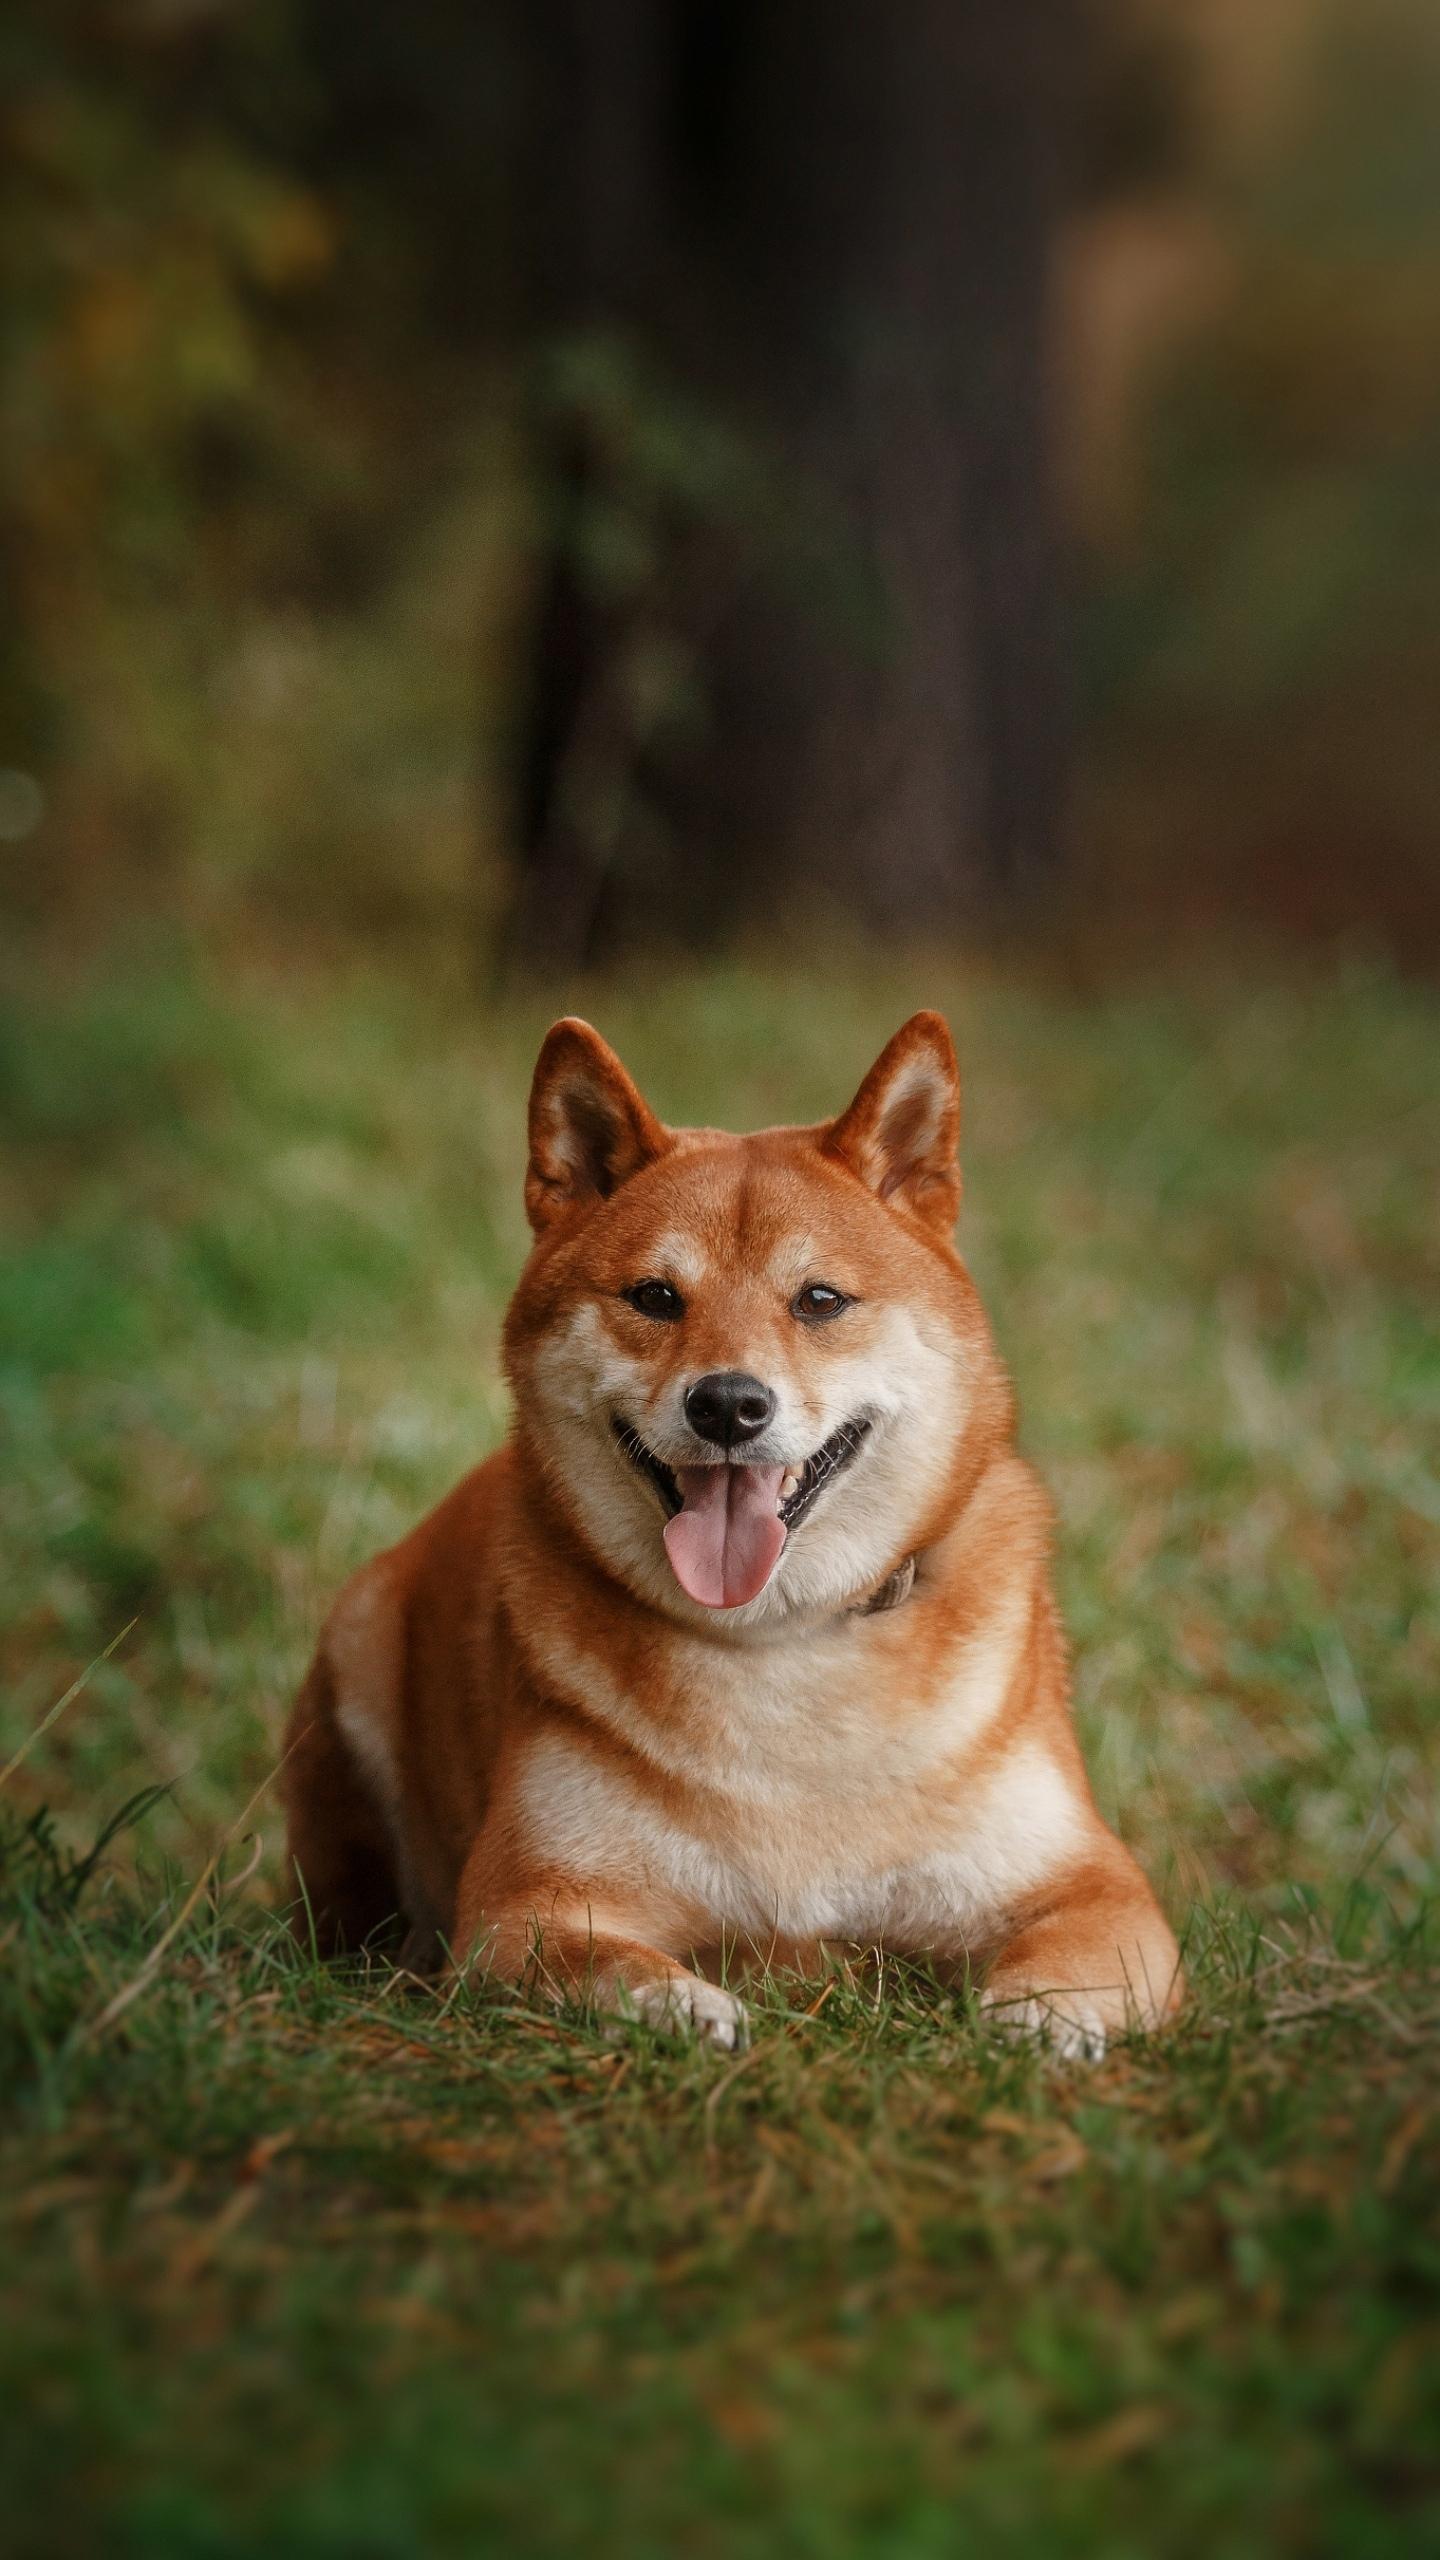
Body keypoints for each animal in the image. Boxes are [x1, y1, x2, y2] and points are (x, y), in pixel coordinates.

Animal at [283, 1008, 1178, 2048]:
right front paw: (683, 2005)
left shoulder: (1097, 1888)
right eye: (655, 1297)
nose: (727, 1405)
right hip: (357, 1654)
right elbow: (607, 1963)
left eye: (820, 1299)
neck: (778, 1644)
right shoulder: (520, 1907)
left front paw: (1032, 2026)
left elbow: (1067, 1963)